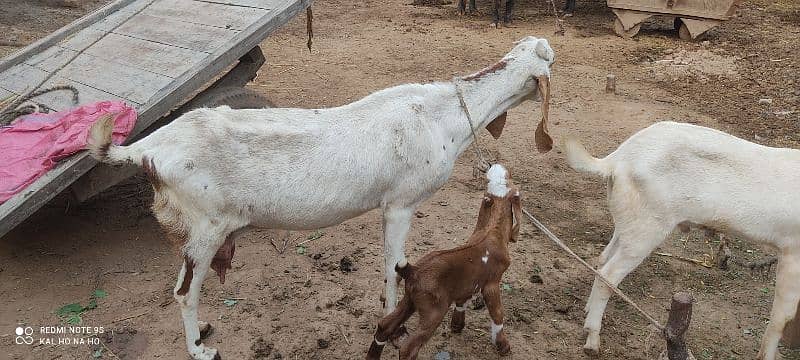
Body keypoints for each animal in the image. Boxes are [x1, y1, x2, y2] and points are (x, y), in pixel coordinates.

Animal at [84, 34, 552, 360]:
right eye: (549, 59)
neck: (442, 115)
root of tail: (147, 149)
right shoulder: (400, 204)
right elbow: (394, 268)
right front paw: (392, 324)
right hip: (207, 227)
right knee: (184, 292)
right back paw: (200, 349)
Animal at [564, 121, 800, 360]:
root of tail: (618, 159)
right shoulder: (792, 252)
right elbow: (782, 317)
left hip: (629, 221)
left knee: (603, 258)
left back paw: (587, 313)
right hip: (648, 228)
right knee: (609, 274)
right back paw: (592, 338)